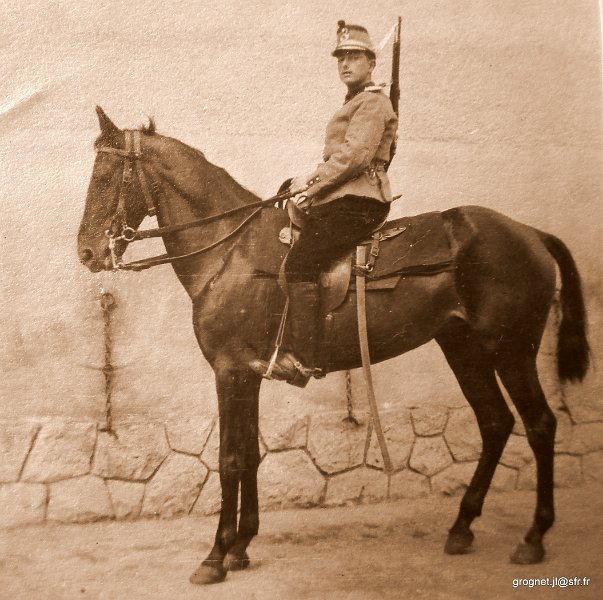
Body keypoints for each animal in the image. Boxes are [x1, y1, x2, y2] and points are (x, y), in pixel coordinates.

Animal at [76, 106, 588, 580]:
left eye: (103, 176)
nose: (86, 251)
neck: (230, 251)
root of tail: (529, 233)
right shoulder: (248, 375)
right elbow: (251, 456)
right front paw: (241, 545)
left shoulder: (230, 372)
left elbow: (230, 458)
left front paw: (216, 555)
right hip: (464, 350)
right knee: (496, 423)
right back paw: (462, 527)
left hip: (512, 352)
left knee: (540, 425)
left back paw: (534, 537)